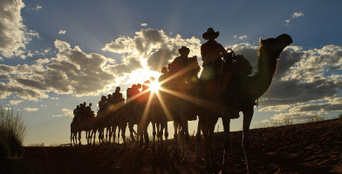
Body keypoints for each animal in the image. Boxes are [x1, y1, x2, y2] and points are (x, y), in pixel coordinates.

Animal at [196, 34, 292, 173]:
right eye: (271, 41)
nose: (287, 37)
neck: (243, 86)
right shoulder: (226, 113)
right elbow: (226, 142)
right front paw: (223, 168)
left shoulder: (248, 110)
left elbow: (245, 141)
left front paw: (250, 168)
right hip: (203, 111)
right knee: (203, 134)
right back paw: (206, 164)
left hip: (213, 115)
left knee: (208, 136)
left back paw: (212, 162)